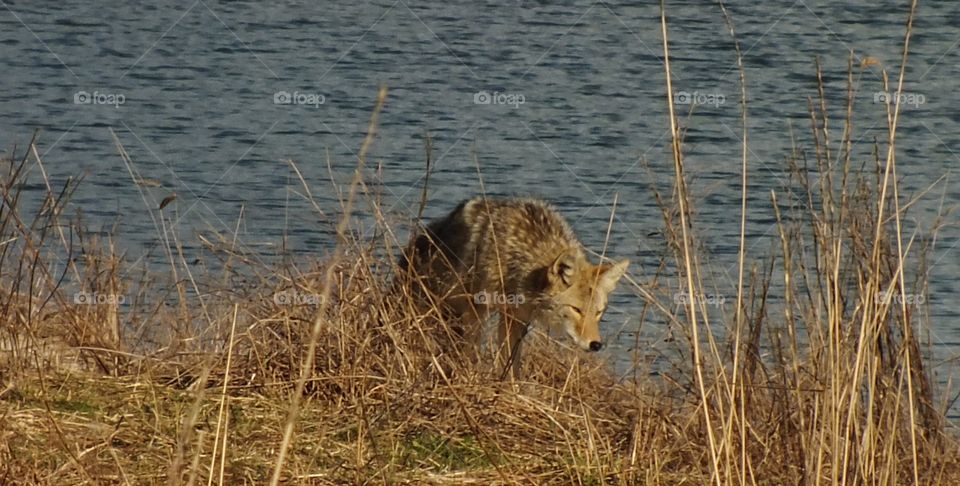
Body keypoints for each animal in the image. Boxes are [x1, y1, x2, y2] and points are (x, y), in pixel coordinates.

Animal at [401, 196, 630, 378]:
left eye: (598, 312)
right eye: (577, 310)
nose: (596, 345)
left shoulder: (516, 318)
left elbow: (511, 363)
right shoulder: (476, 310)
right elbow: (472, 351)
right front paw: (470, 376)